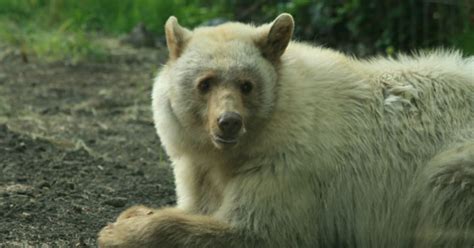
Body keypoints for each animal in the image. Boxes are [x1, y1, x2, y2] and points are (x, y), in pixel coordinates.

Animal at [98, 14, 472, 248]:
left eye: (246, 85)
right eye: (205, 83)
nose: (228, 121)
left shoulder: (287, 164)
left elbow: (257, 230)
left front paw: (118, 230)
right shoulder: (200, 165)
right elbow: (199, 203)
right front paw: (137, 213)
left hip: (450, 169)